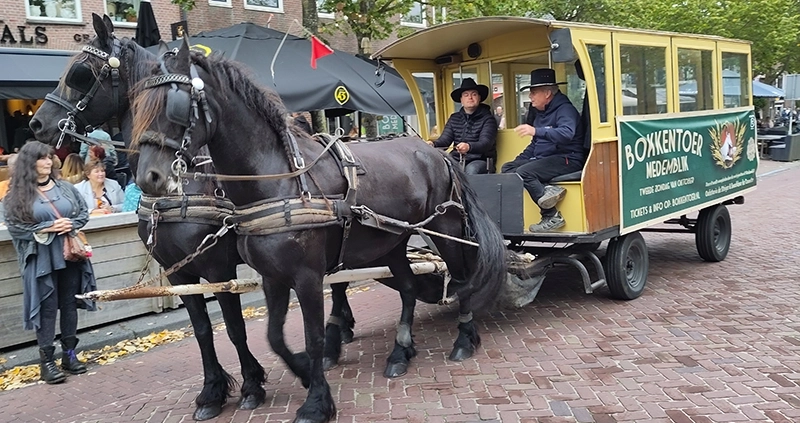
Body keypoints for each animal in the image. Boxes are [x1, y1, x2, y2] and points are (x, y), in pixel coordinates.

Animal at [131, 40, 506, 423]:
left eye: (175, 105)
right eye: (138, 106)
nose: (149, 177)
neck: (278, 180)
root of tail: (437, 152)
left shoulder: (297, 275)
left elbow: (306, 337)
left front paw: (314, 401)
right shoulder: (266, 275)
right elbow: (272, 337)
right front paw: (300, 373)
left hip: (445, 229)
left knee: (462, 278)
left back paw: (464, 339)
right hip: (391, 242)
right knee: (408, 287)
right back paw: (400, 353)